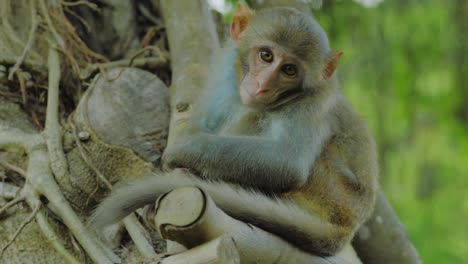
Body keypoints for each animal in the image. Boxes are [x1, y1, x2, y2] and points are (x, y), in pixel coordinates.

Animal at [92, 3, 380, 256]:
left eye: (289, 70)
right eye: (266, 55)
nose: (262, 86)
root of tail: (347, 227)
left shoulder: (314, 103)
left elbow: (287, 162)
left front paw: (179, 152)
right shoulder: (229, 66)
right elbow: (208, 117)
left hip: (326, 190)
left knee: (258, 116)